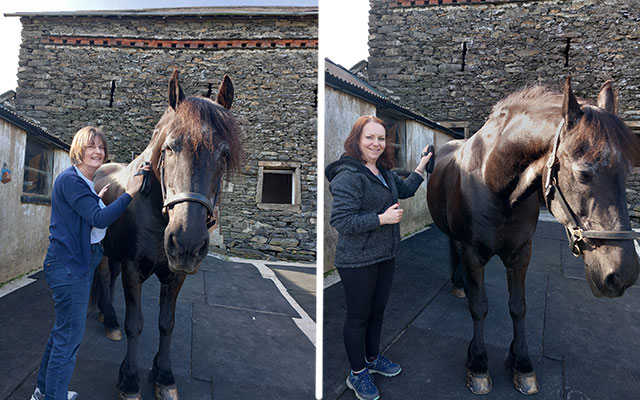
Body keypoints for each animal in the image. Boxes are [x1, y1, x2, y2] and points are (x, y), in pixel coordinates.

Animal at [94, 72, 242, 400]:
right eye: (170, 148)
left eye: (224, 153)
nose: (187, 242)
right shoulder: (133, 269)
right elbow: (135, 323)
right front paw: (130, 380)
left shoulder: (175, 275)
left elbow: (167, 324)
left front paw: (163, 376)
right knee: (104, 275)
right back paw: (109, 319)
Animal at [428, 77, 636, 394]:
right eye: (583, 173)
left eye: (627, 172)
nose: (622, 275)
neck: (495, 185)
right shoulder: (473, 252)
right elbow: (480, 307)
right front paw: (478, 364)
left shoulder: (521, 253)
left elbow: (518, 307)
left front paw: (522, 364)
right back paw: (459, 283)